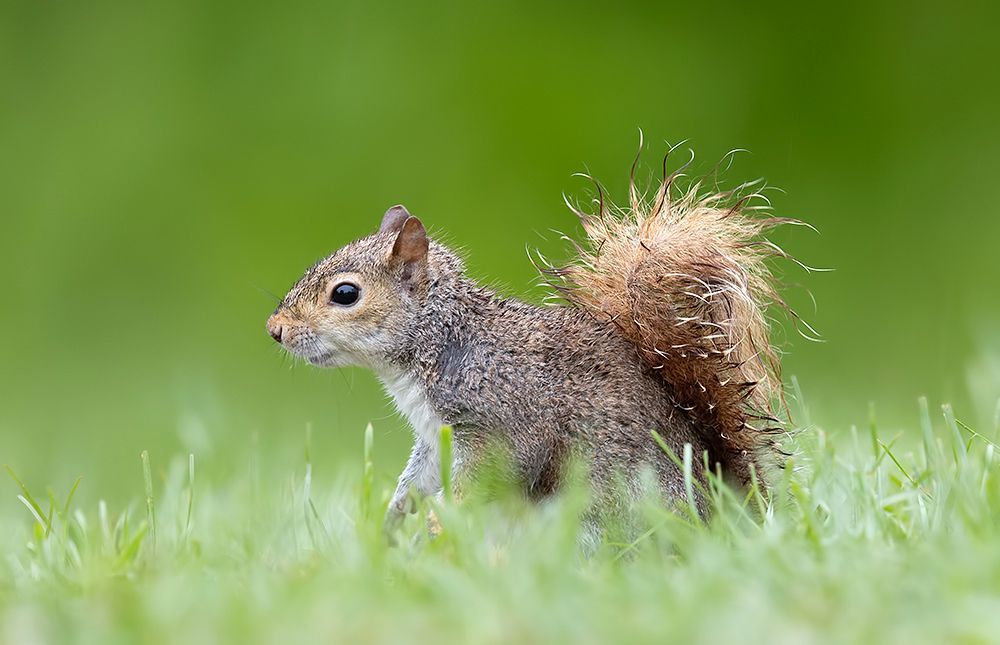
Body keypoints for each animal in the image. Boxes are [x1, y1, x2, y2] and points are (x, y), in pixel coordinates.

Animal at [267, 156, 798, 531]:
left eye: (345, 294)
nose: (275, 329)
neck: (441, 341)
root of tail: (724, 518)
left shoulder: (504, 416)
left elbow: (493, 471)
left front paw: (441, 519)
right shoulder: (435, 436)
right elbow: (418, 476)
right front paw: (395, 517)